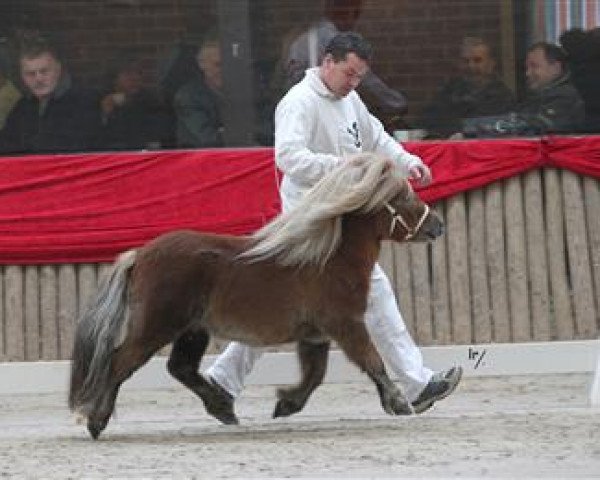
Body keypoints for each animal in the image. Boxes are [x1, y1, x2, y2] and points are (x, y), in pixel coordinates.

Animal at [70, 153, 442, 438]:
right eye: (403, 197)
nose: (437, 225)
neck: (329, 259)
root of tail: (140, 255)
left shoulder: (315, 335)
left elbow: (315, 375)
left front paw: (286, 404)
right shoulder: (346, 324)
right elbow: (372, 361)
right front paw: (398, 402)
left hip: (192, 330)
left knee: (180, 367)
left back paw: (222, 407)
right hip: (155, 327)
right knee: (119, 362)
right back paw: (96, 420)